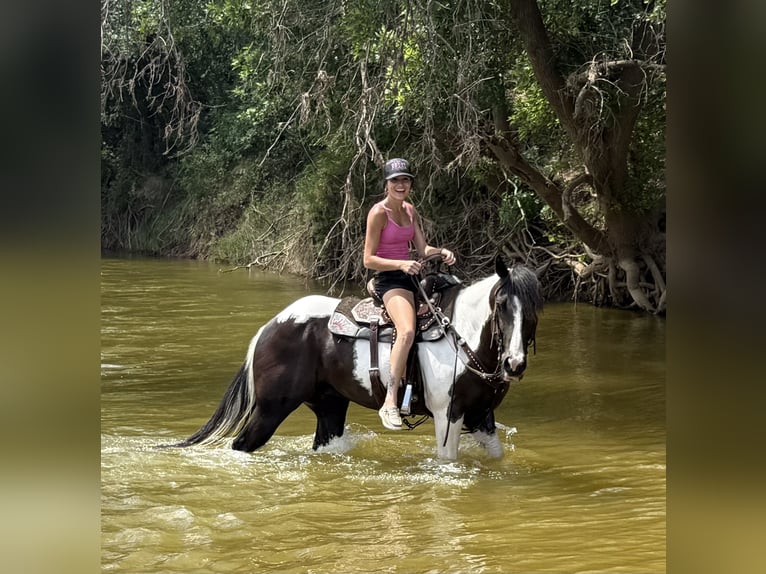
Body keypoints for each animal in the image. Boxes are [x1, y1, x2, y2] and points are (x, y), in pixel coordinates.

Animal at [167, 255, 543, 460]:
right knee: (241, 445)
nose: (514, 364)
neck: (461, 334)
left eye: (535, 308)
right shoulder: (447, 416)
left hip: (329, 406)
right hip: (271, 408)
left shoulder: (481, 416)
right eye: (501, 305)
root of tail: (269, 328)